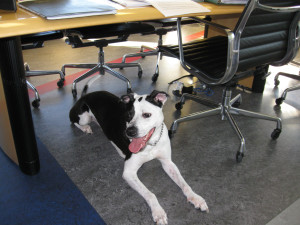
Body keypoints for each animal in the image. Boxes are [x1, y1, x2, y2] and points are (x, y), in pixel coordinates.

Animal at [69, 90, 209, 224]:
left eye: (146, 115)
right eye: (128, 115)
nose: (129, 132)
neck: (150, 144)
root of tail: (86, 95)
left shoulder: (168, 163)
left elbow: (184, 184)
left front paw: (195, 197)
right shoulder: (129, 173)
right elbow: (150, 194)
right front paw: (158, 212)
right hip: (83, 116)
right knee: (74, 121)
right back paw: (85, 128)